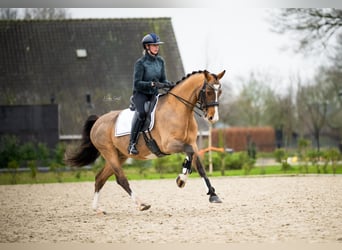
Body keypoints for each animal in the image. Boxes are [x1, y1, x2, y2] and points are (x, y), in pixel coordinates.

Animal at [66, 69, 227, 213]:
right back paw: (141, 204)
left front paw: (212, 195)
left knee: (100, 178)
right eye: (208, 92)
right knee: (120, 178)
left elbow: (199, 165)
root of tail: (98, 120)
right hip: (109, 152)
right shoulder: (168, 145)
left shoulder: (192, 142)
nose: (213, 118)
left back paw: (97, 209)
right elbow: (190, 153)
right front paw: (181, 179)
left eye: (220, 92)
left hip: (120, 155)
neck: (179, 111)